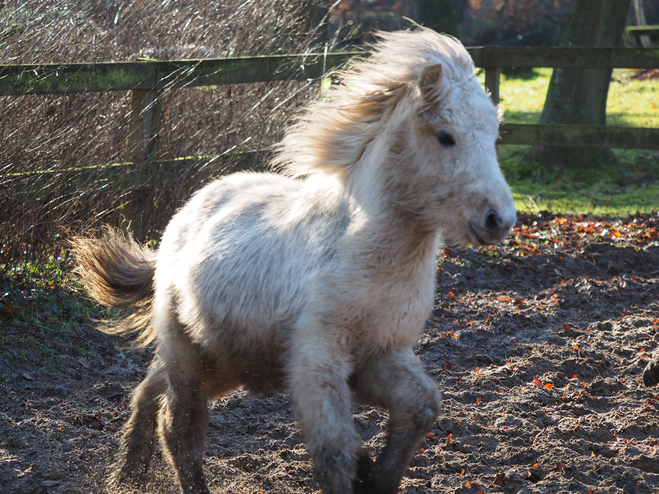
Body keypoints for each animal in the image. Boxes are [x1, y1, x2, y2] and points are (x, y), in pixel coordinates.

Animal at [71, 27, 516, 494]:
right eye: (445, 135)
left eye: (495, 137)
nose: (499, 220)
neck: (366, 257)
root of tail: (184, 215)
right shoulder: (316, 358)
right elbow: (334, 450)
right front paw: (359, 470)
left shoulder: (380, 355)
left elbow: (422, 406)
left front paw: (375, 474)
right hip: (189, 357)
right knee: (180, 427)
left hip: (222, 362)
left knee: (148, 392)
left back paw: (127, 477)